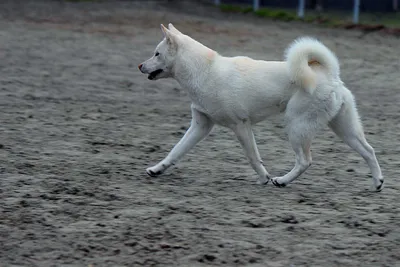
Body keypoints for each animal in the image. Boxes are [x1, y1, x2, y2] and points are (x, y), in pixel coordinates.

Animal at [138, 22, 384, 191]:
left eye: (157, 54)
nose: (140, 66)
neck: (205, 71)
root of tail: (329, 73)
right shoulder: (200, 126)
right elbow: (176, 151)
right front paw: (156, 169)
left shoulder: (241, 126)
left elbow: (253, 157)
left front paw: (264, 178)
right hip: (344, 128)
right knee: (369, 150)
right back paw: (378, 182)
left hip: (297, 126)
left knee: (305, 161)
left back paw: (281, 181)